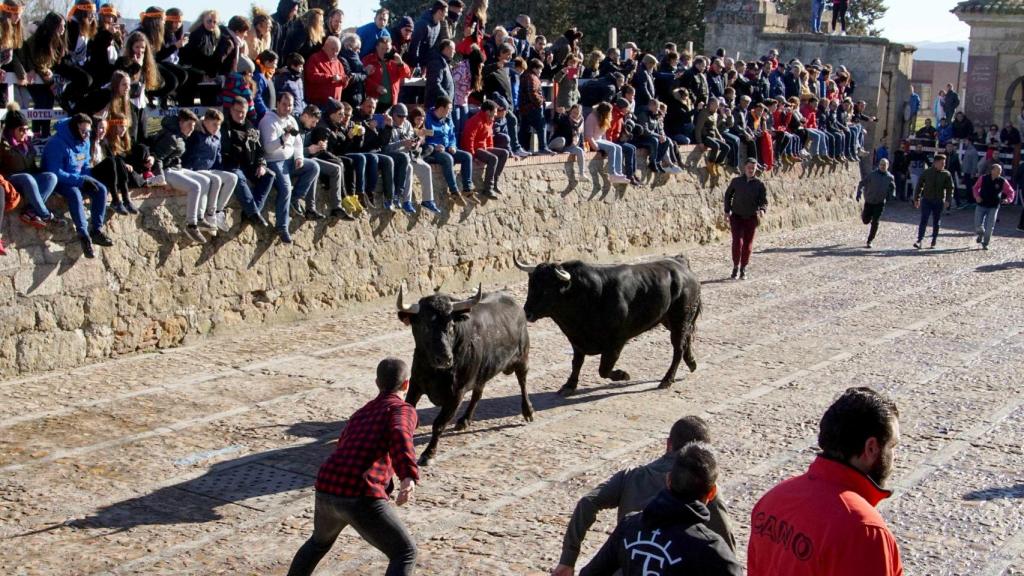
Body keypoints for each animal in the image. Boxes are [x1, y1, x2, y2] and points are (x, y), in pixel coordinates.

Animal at [395, 284, 532, 463]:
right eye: (424, 326)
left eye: (451, 325)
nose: (445, 358)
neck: (436, 372)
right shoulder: (416, 384)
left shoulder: (455, 395)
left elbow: (438, 424)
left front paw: (428, 453)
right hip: (483, 372)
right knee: (478, 394)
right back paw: (464, 420)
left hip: (523, 358)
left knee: (522, 382)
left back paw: (528, 411)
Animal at [516, 253, 700, 391]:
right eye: (531, 285)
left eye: (547, 289)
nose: (527, 313)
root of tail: (680, 263)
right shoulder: (577, 340)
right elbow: (577, 362)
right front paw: (569, 385)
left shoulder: (616, 342)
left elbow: (603, 369)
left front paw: (623, 375)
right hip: (670, 320)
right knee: (687, 339)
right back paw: (691, 363)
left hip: (680, 319)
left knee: (678, 347)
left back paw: (667, 380)